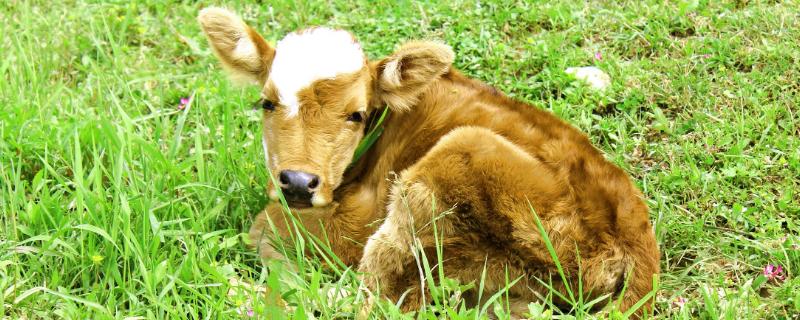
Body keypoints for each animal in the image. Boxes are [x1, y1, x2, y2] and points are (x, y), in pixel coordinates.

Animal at [197, 6, 660, 318]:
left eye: (356, 115)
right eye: (267, 103)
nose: (296, 181)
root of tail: (637, 232)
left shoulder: (356, 221)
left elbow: (265, 225)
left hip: (455, 160)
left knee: (377, 301)